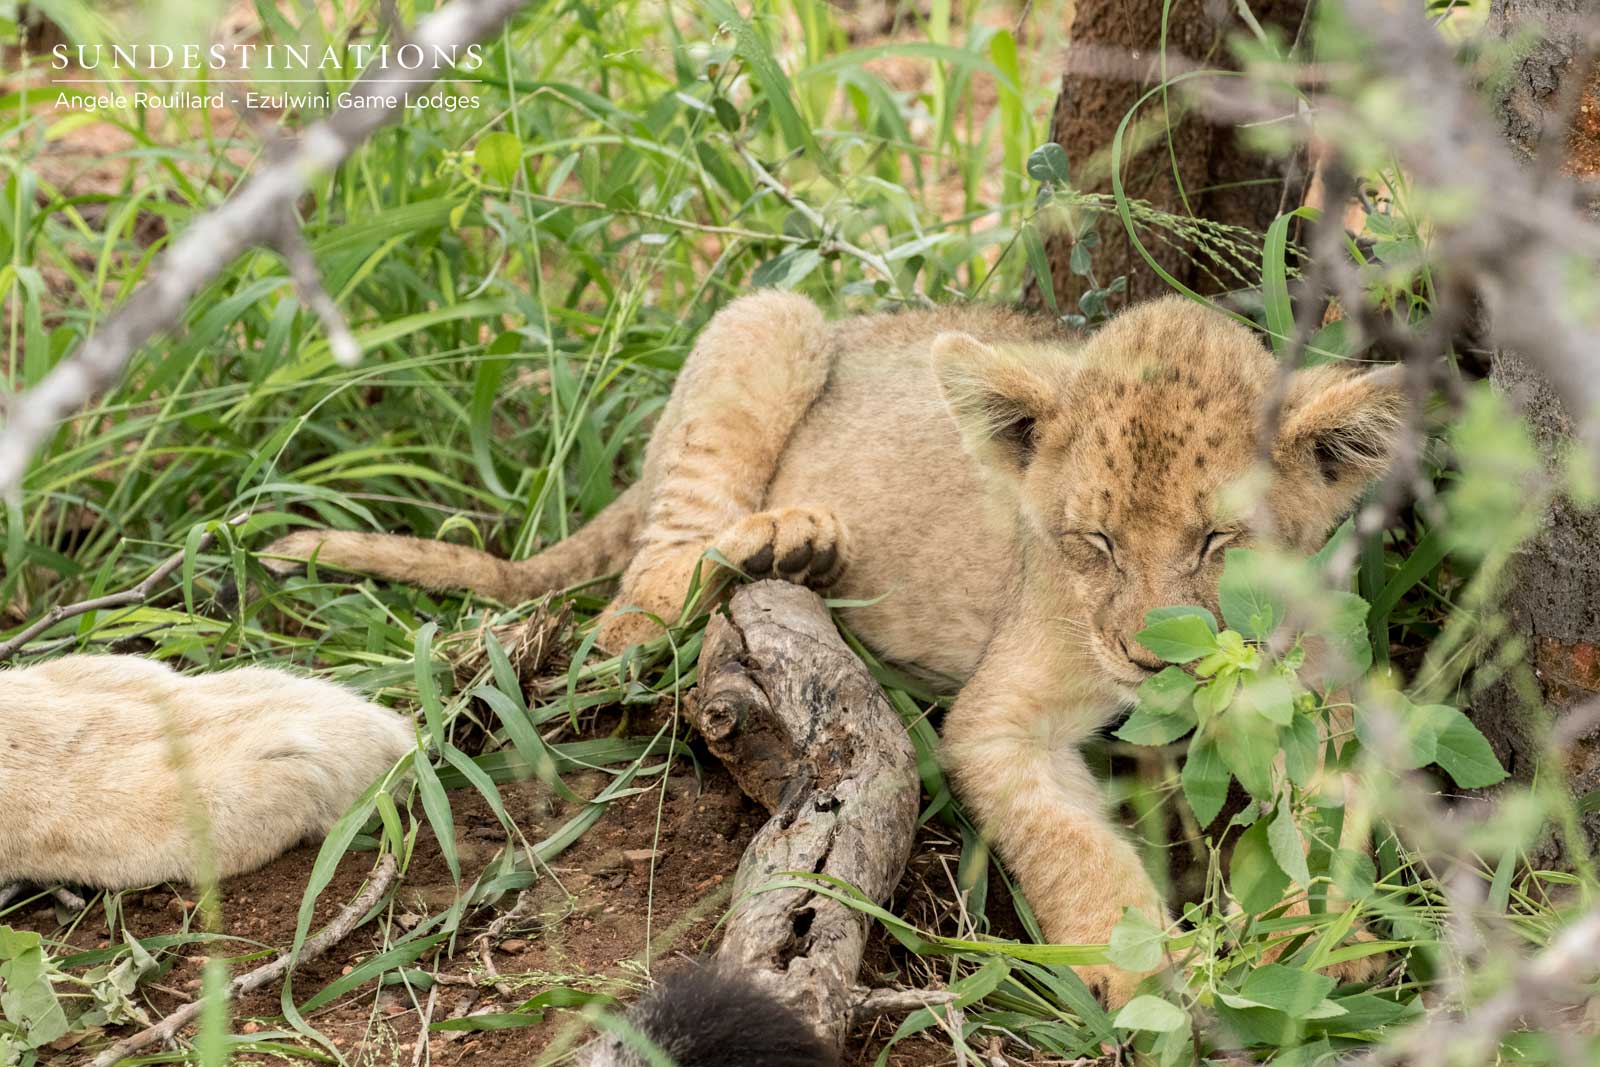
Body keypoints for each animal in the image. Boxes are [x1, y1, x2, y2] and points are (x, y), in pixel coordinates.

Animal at [262, 293, 1402, 1005]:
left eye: (1219, 540)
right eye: (1093, 542)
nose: (1150, 660)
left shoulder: (1318, 693)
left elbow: (1331, 810)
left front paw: (1323, 940)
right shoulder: (995, 717)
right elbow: (1068, 843)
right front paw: (1136, 967)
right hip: (769, 323)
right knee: (635, 596)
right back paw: (765, 548)